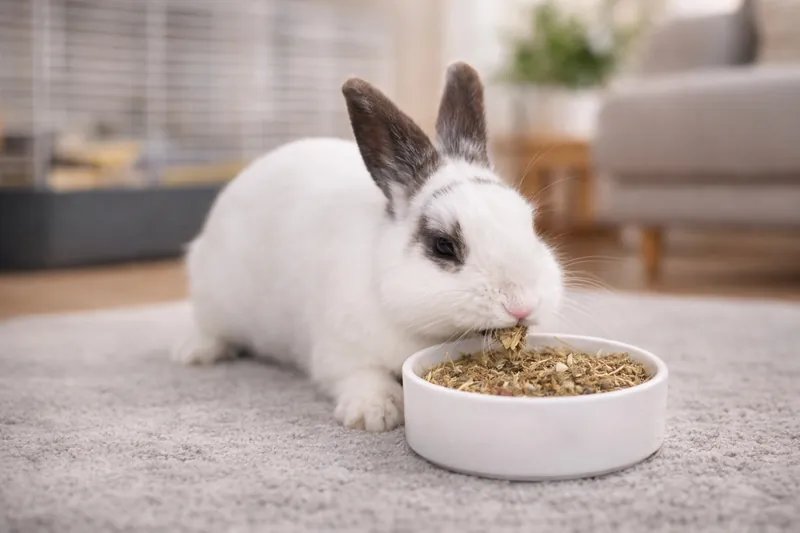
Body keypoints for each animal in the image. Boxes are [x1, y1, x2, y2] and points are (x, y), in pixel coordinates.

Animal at [172, 62, 564, 432]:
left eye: (531, 225)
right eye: (443, 245)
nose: (522, 305)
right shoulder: (338, 353)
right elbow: (360, 375)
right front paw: (375, 414)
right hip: (213, 299)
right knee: (209, 328)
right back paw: (195, 353)